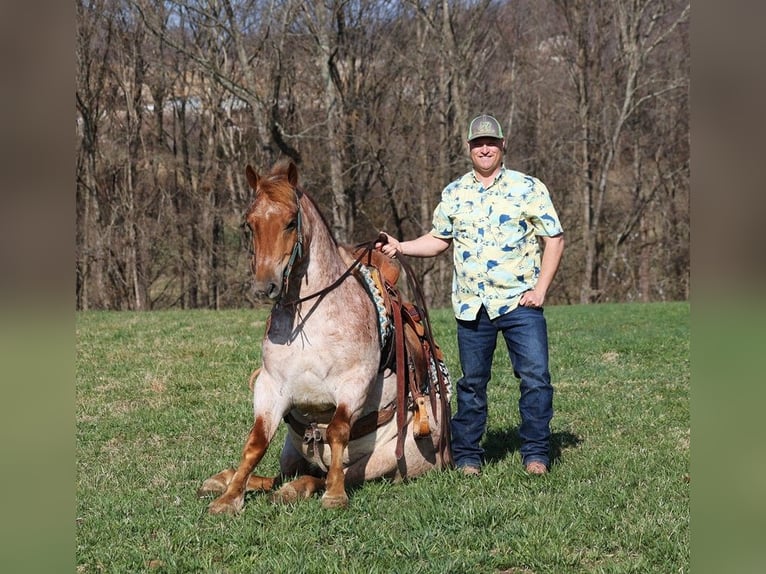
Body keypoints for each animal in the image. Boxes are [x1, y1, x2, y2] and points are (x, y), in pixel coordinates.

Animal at [198, 160, 452, 516]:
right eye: (249, 223)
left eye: (291, 222)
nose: (265, 286)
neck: (309, 320)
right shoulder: (270, 387)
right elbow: (256, 442)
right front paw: (229, 497)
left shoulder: (354, 383)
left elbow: (337, 430)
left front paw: (334, 494)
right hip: (292, 453)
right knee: (278, 476)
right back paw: (225, 480)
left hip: (385, 461)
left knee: (330, 473)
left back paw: (300, 488)